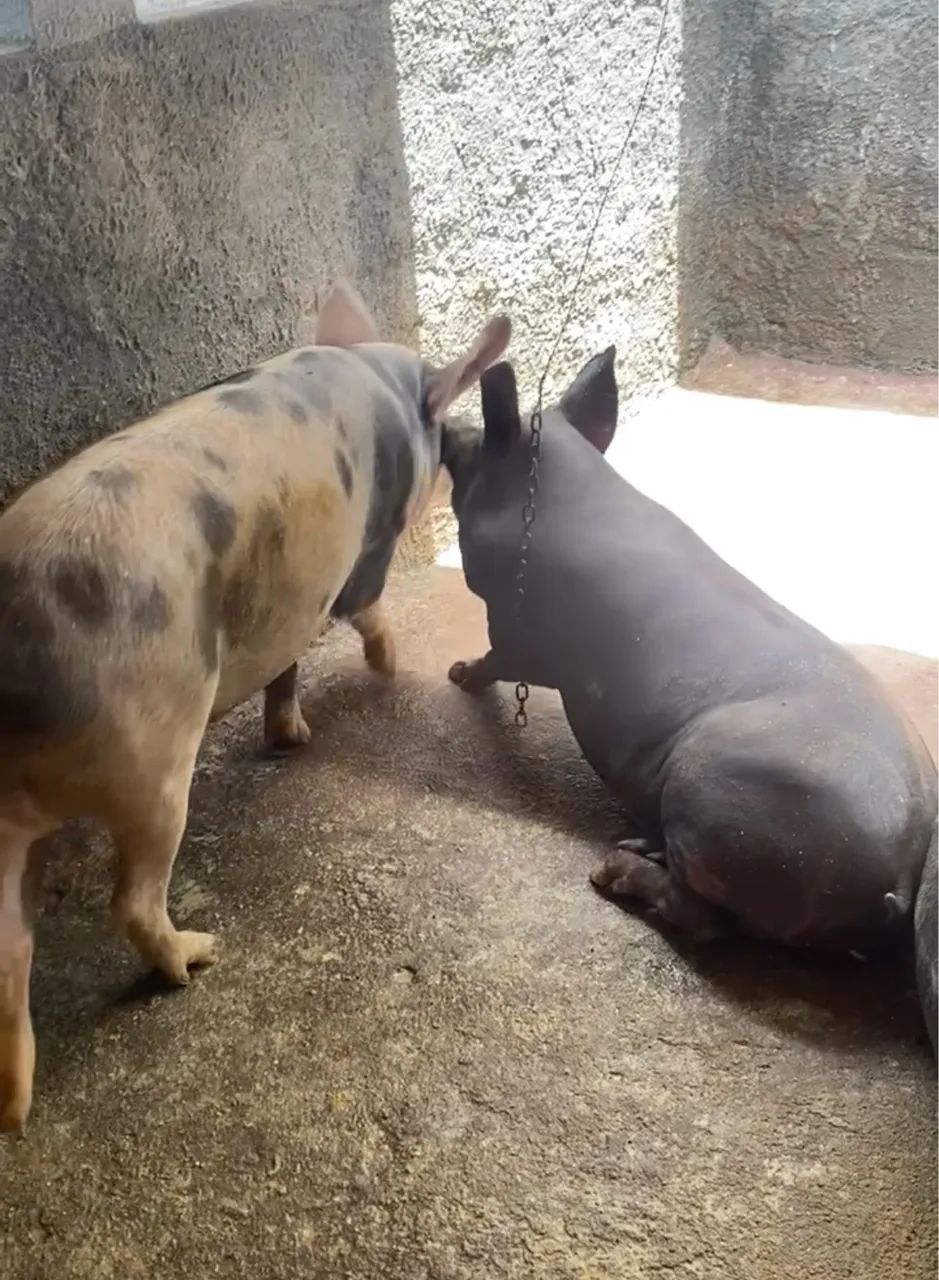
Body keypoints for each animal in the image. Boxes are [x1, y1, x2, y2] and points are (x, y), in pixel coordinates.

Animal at [0, 283, 510, 1130]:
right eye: (442, 425)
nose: (465, 440)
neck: (377, 381)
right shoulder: (363, 554)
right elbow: (364, 609)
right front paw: (391, 668)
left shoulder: (289, 601)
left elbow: (287, 661)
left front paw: (291, 736)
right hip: (151, 758)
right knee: (131, 900)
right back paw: (197, 959)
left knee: (11, 952)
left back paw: (15, 1110)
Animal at [441, 351, 938, 1047]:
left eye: (469, 445)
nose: (441, 428)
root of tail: (901, 878)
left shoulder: (515, 629)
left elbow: (497, 659)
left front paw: (456, 672)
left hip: (713, 793)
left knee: (705, 920)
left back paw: (614, 869)